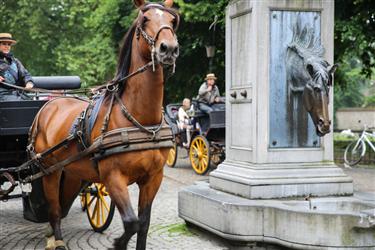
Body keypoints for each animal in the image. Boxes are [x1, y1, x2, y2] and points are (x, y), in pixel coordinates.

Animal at [28, 0, 178, 249]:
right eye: (144, 19)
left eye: (172, 20)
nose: (169, 48)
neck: (141, 121)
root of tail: (49, 105)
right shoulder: (113, 177)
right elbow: (131, 222)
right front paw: (118, 243)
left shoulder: (153, 178)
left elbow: (143, 225)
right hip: (50, 171)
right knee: (54, 209)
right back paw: (57, 239)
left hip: (72, 170)